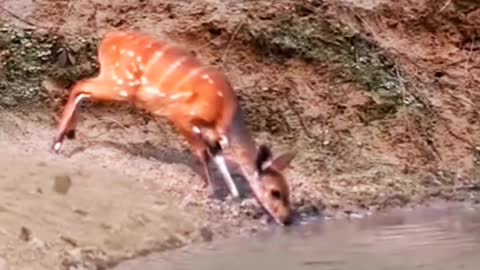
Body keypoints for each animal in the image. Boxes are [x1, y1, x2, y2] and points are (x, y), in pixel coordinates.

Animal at [49, 30, 296, 226]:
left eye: (288, 191)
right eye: (275, 192)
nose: (286, 220)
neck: (224, 114)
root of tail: (107, 39)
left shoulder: (212, 136)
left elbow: (219, 159)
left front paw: (234, 196)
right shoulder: (182, 117)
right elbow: (203, 154)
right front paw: (213, 193)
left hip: (116, 82)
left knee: (82, 90)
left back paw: (68, 135)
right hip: (122, 85)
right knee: (80, 85)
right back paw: (56, 143)